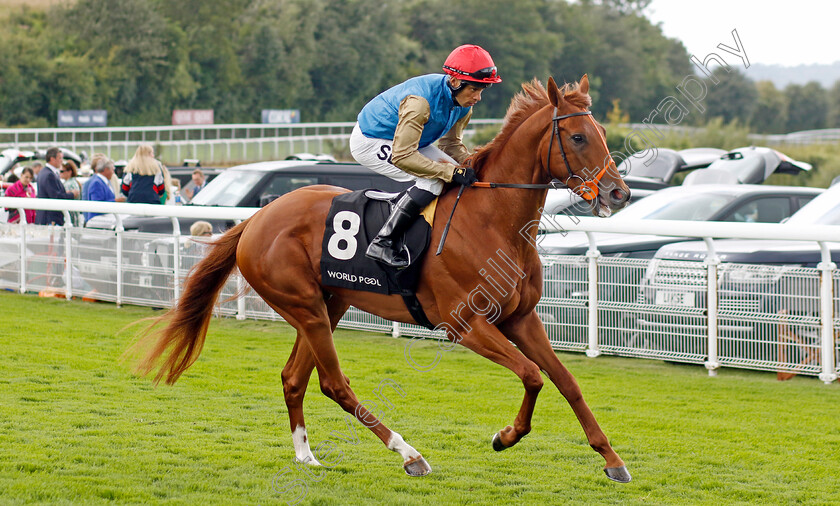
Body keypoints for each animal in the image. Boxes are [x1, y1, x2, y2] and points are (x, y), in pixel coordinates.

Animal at [131, 75, 632, 482]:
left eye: (604, 134)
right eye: (578, 136)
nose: (618, 193)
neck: (492, 221)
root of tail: (256, 219)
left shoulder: (522, 318)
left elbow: (566, 381)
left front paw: (612, 459)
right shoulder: (465, 324)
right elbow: (532, 376)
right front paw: (506, 436)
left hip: (329, 305)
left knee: (294, 378)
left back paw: (306, 456)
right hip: (305, 307)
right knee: (333, 383)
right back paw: (409, 454)